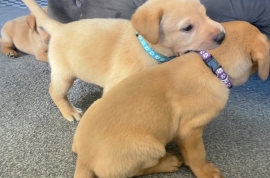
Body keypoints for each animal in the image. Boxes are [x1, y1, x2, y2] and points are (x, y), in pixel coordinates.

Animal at [23, 0, 226, 121]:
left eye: (206, 14)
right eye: (187, 28)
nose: (222, 36)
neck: (146, 47)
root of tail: (60, 27)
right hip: (64, 74)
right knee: (55, 92)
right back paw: (69, 111)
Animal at [71, 21, 270, 178]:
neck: (211, 65)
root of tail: (84, 160)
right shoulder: (190, 130)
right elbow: (197, 155)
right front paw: (205, 172)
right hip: (152, 147)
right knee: (138, 171)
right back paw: (168, 162)